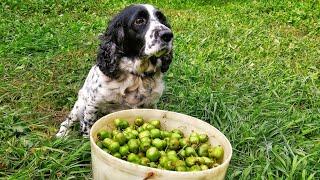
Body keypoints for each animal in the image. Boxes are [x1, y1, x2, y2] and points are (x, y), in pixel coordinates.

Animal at [56, 3, 174, 137]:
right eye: (139, 21)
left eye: (162, 19)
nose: (168, 35)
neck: (137, 75)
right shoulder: (93, 103)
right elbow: (88, 126)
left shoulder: (150, 104)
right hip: (80, 104)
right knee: (68, 121)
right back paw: (62, 135)